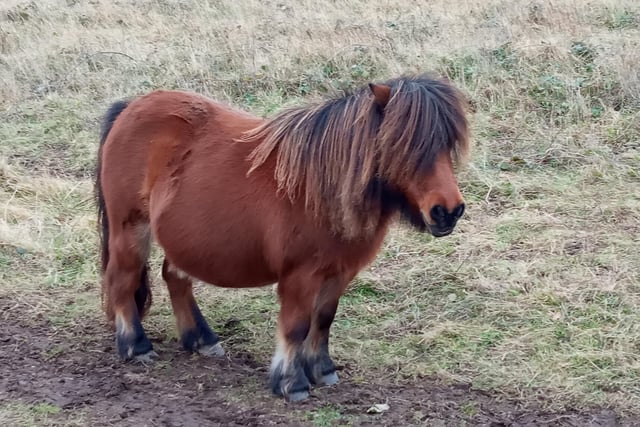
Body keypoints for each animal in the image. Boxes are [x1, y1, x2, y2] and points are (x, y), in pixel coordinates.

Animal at [97, 73, 472, 402]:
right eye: (406, 146)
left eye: (448, 145)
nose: (448, 211)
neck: (320, 187)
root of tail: (131, 107)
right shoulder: (300, 276)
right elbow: (296, 326)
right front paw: (292, 383)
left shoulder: (339, 273)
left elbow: (323, 320)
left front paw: (322, 370)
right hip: (131, 229)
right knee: (122, 279)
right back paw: (136, 346)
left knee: (174, 277)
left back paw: (200, 339)